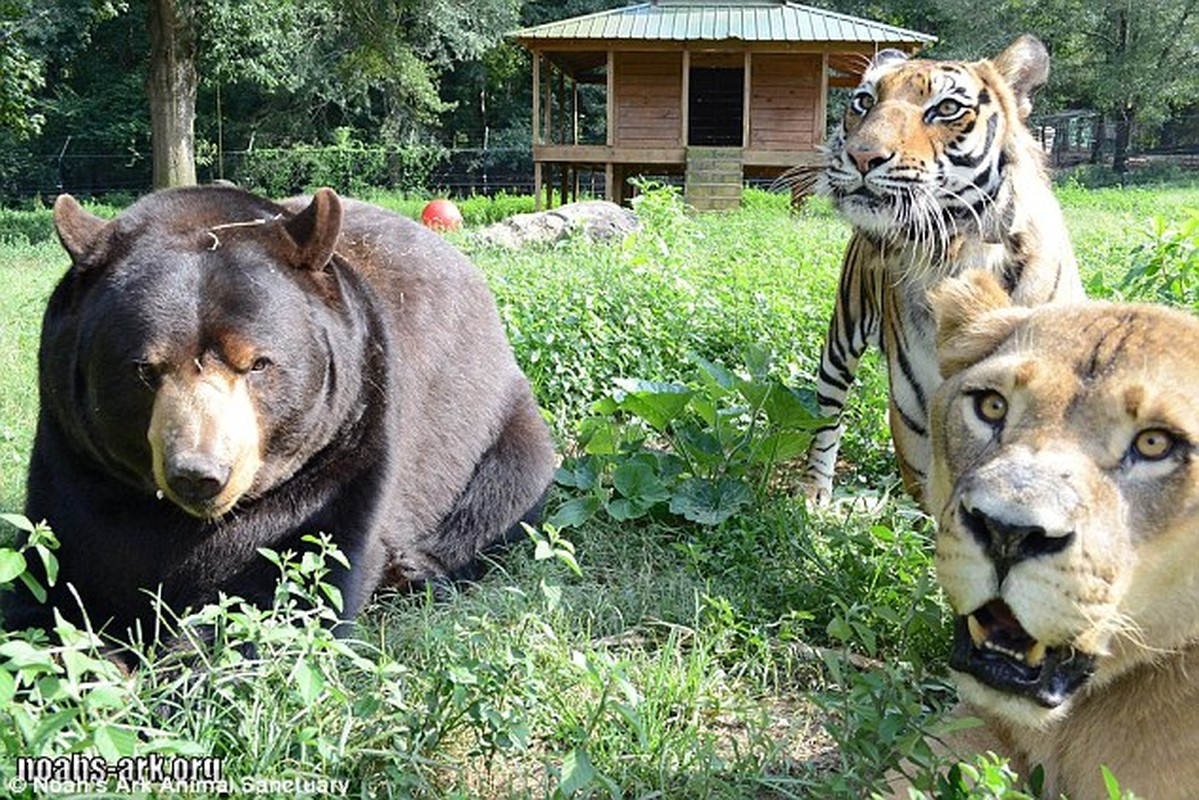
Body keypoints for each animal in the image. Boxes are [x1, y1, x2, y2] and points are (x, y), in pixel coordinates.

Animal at [3, 185, 556, 642]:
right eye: (144, 368)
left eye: (258, 363)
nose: (200, 474)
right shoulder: (74, 459)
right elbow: (59, 574)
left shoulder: (348, 447)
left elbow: (298, 583)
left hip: (493, 414)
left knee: (508, 484)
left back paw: (415, 567)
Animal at [800, 34, 1083, 506]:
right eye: (864, 101)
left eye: (947, 108)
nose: (860, 156)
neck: (957, 250)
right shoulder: (917, 417)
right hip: (841, 340)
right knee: (825, 418)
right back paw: (814, 492)